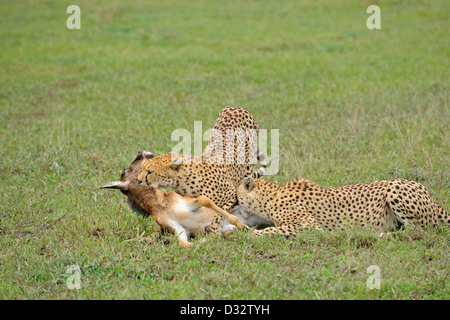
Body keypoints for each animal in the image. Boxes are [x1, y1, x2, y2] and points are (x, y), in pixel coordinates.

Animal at [137, 106, 268, 234]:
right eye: (142, 168)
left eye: (150, 172)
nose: (138, 180)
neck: (182, 181)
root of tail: (236, 107)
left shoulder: (231, 194)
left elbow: (220, 212)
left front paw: (215, 228)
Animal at [237, 178, 448, 238]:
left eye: (237, 200)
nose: (233, 207)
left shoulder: (311, 227)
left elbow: (275, 229)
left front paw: (249, 234)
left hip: (394, 187)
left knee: (422, 230)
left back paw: (384, 235)